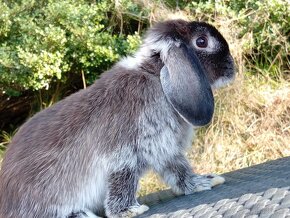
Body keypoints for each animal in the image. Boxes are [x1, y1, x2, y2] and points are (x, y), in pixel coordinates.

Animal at [0, 19, 236, 217]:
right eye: (202, 41)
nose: (232, 66)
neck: (155, 78)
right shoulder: (124, 154)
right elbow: (123, 182)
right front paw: (128, 211)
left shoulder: (165, 150)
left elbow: (180, 172)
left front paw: (205, 182)